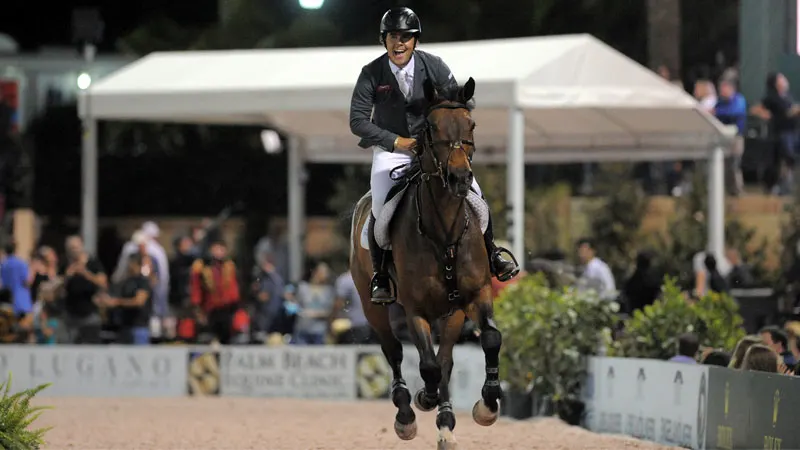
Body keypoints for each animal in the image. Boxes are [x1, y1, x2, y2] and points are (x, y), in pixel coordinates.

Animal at [348, 77, 500, 450]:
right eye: (431, 128)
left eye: (471, 124)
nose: (460, 178)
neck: (444, 232)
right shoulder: (414, 309)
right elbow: (426, 366)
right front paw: (424, 400)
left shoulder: (474, 297)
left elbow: (488, 340)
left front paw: (486, 407)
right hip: (372, 305)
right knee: (393, 351)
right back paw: (407, 413)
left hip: (450, 313)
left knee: (444, 359)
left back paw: (445, 423)